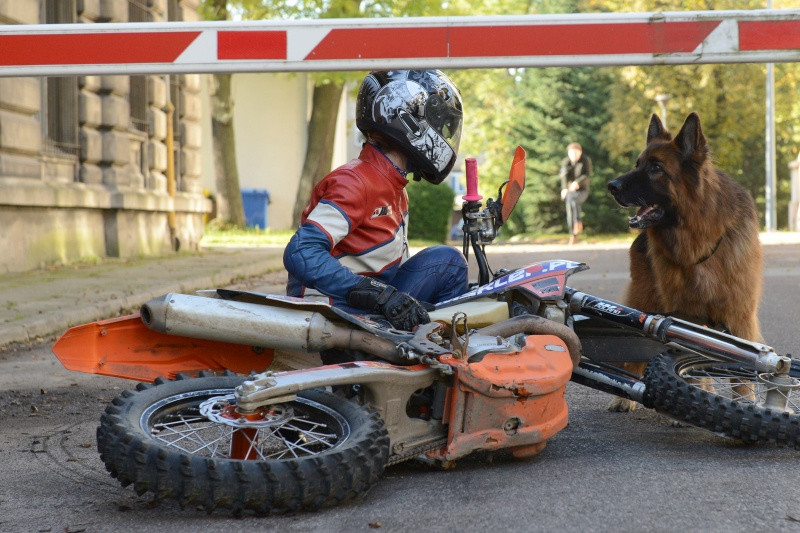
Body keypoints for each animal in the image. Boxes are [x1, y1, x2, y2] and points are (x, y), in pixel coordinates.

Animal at [608, 112, 764, 412]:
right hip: (645, 299)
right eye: (638, 164)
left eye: (655, 167)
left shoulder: (739, 314)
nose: (611, 186)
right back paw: (623, 396)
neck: (699, 240)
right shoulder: (684, 315)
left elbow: (741, 374)